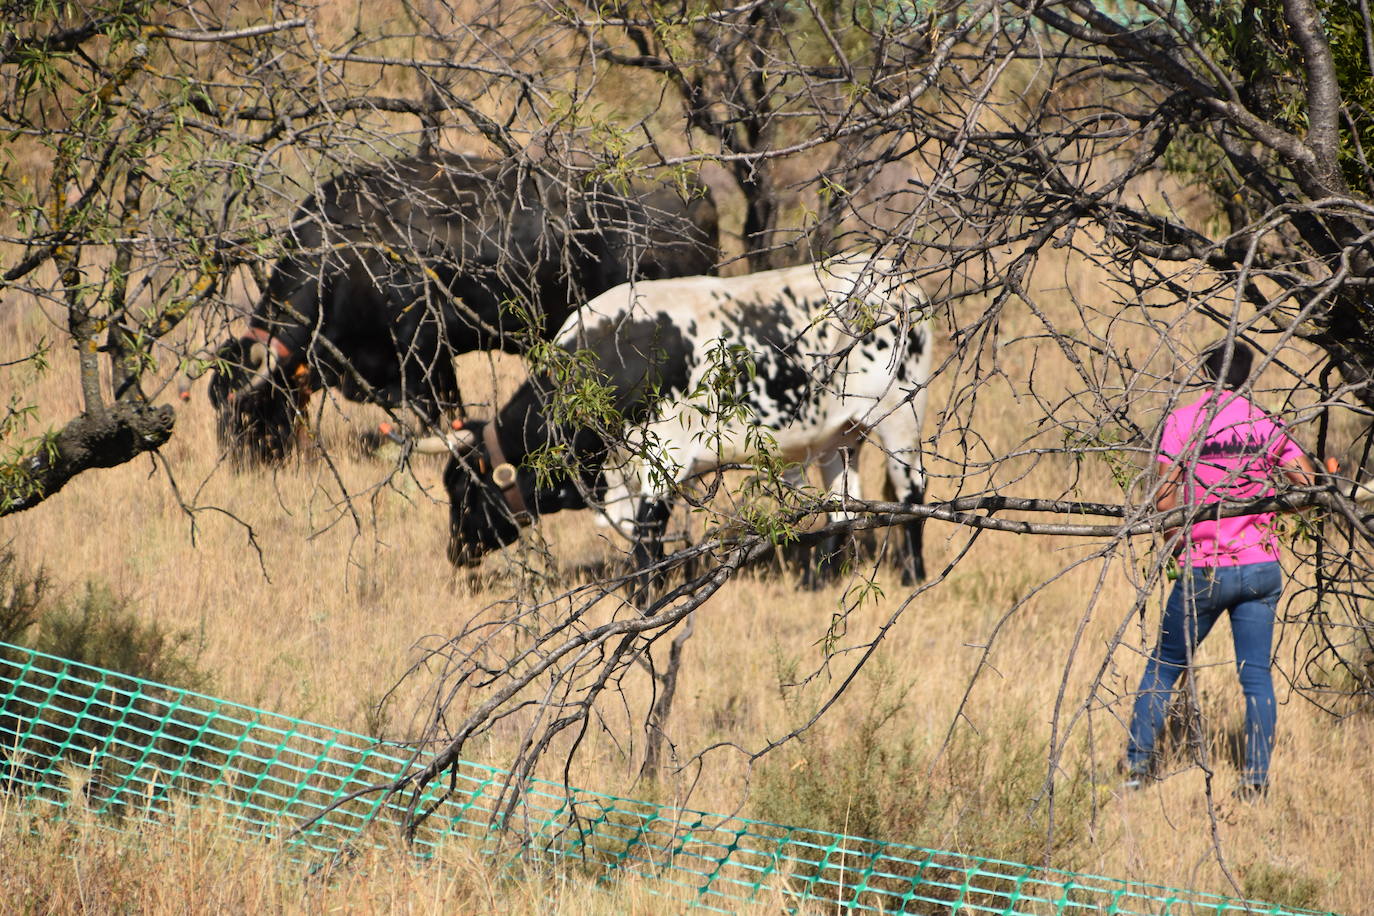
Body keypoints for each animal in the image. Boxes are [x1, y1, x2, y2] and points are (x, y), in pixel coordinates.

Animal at [204, 153, 725, 466]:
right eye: (217, 403)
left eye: (246, 408)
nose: (237, 461)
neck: (348, 252)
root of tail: (696, 197)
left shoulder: (425, 357)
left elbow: (441, 416)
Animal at [414, 254, 934, 590]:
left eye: (462, 487)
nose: (455, 551)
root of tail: (896, 275)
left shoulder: (662, 462)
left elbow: (648, 537)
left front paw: (644, 599)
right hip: (839, 435)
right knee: (843, 508)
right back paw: (821, 582)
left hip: (900, 419)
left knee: (911, 493)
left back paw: (913, 576)